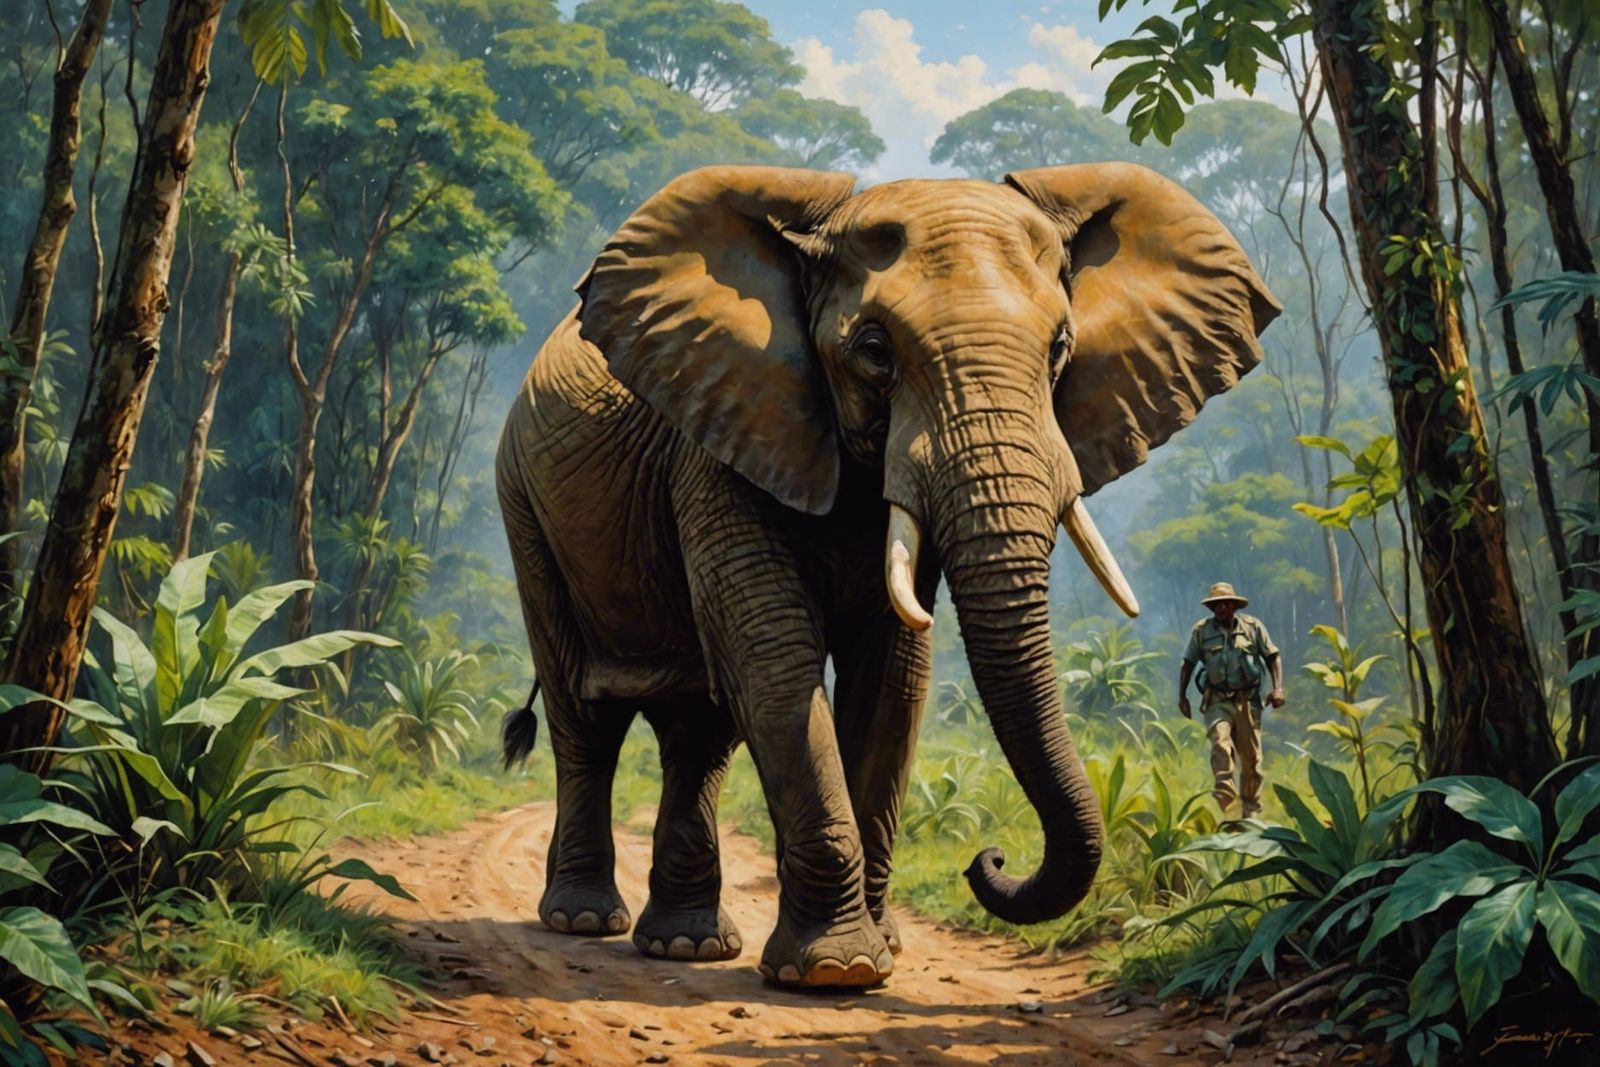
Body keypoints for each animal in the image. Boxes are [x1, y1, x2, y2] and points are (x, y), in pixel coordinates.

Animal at [496, 163, 1279, 989]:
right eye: (874, 350)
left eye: (1061, 347)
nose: (991, 857)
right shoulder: (717, 432)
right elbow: (773, 656)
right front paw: (836, 971)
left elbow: (893, 677)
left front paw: (876, 951)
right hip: (524, 504)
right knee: (586, 715)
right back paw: (585, 921)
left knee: (698, 731)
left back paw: (687, 945)